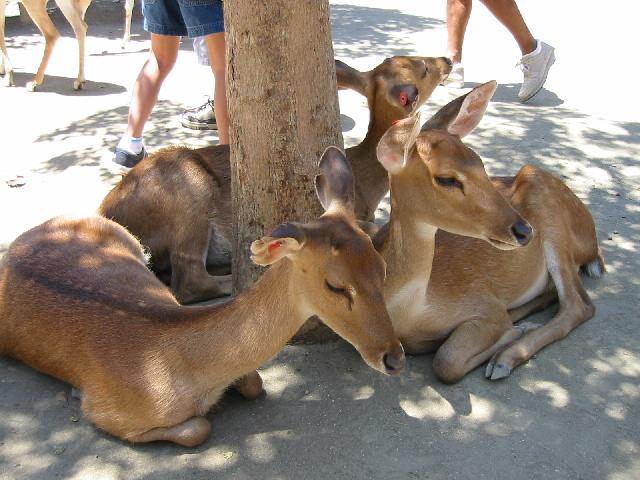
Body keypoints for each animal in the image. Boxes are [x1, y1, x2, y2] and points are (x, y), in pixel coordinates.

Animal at [0, 148, 404, 448]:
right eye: (335, 285)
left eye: (382, 268)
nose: (394, 358)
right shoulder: (108, 412)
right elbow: (198, 428)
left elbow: (254, 383)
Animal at [99, 55, 450, 304]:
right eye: (422, 68)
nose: (446, 60)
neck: (366, 180)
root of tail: (107, 213)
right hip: (189, 191)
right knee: (188, 281)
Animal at [372, 80, 604, 384]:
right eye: (445, 178)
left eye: (480, 162)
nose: (524, 230)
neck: (409, 314)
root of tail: (592, 243)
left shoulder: (483, 303)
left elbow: (447, 362)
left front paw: (513, 333)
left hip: (551, 214)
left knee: (580, 304)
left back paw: (505, 358)